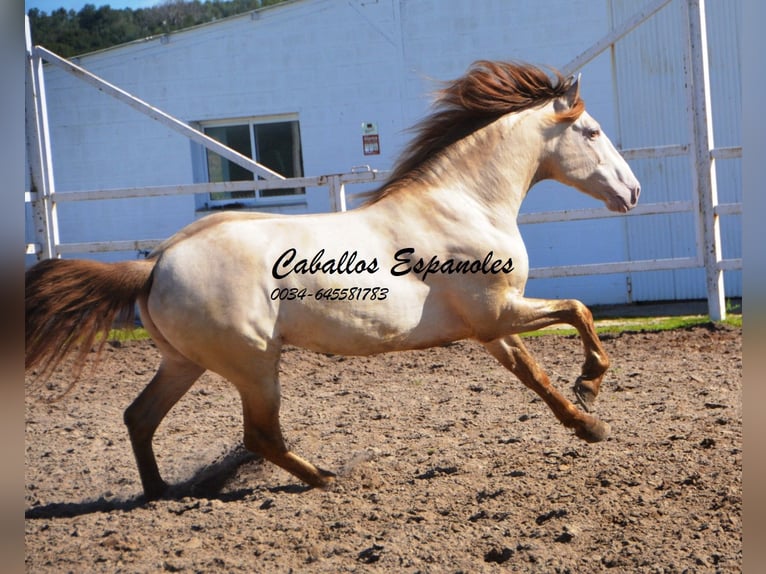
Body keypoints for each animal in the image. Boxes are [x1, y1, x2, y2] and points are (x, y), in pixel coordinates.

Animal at [25, 62, 640, 500]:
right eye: (591, 131)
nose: (632, 192)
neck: (463, 203)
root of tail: (156, 262)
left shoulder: (491, 325)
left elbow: (534, 374)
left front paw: (588, 425)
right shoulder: (499, 310)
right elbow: (579, 309)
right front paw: (590, 384)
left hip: (185, 362)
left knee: (140, 417)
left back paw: (161, 493)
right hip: (253, 365)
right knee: (259, 435)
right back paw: (325, 477)